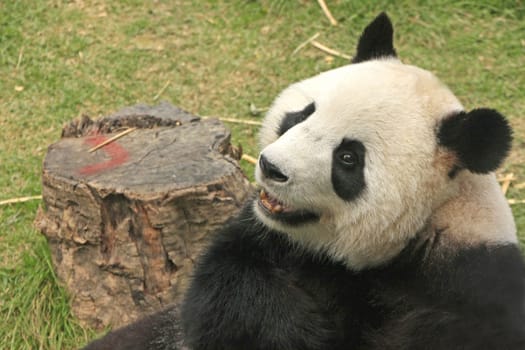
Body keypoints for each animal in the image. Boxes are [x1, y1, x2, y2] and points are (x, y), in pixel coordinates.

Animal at [83, 12, 524, 348]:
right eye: (302, 114)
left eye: (348, 158)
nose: (271, 167)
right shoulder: (269, 242)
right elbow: (227, 296)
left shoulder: (469, 288)